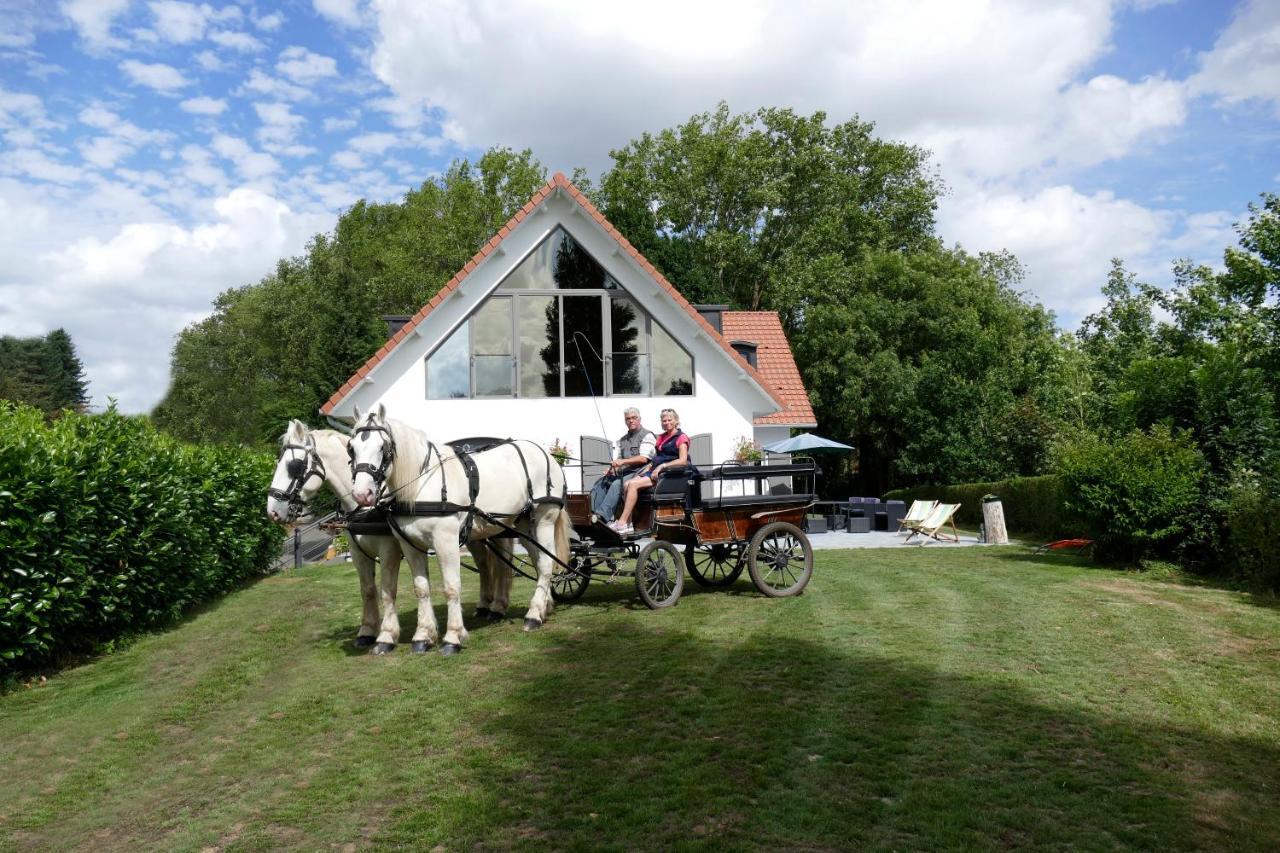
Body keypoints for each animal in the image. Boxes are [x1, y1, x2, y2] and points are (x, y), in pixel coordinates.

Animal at [267, 417, 517, 650]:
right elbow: (368, 590)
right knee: (485, 564)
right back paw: (485, 606)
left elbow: (387, 590)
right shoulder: (358, 553)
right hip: (476, 534)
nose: (273, 511)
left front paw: (387, 635)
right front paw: (367, 631)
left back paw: (497, 607)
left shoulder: (389, 549)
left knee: (502, 564)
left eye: (295, 465)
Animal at [350, 404, 570, 650]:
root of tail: (546, 454)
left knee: (546, 564)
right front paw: (423, 635)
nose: (362, 494)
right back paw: (543, 607)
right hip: (523, 525)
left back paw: (533, 616)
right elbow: (421, 588)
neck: (422, 484)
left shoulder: (445, 541)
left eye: (383, 447)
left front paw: (453, 636)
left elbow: (451, 587)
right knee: (539, 561)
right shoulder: (410, 546)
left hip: (544, 520)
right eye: (351, 448)